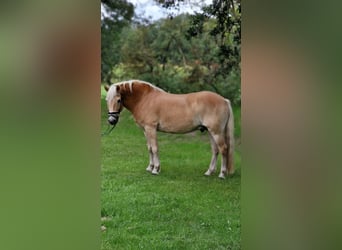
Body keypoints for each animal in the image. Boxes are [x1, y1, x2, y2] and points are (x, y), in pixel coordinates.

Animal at [103, 79, 235, 178]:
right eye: (107, 100)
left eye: (119, 100)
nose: (111, 120)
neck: (144, 99)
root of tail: (224, 100)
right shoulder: (145, 130)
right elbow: (149, 148)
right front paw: (150, 167)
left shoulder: (151, 128)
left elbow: (155, 148)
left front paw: (156, 169)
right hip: (210, 132)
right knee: (215, 150)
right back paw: (209, 172)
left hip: (216, 132)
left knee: (223, 149)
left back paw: (222, 174)